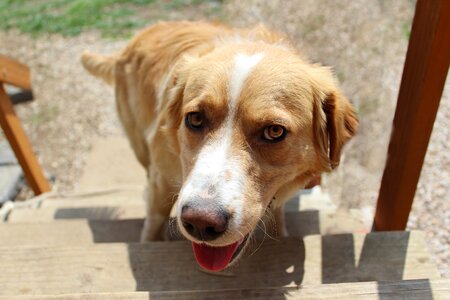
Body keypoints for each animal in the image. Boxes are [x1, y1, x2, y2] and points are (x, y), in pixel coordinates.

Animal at [81, 21, 358, 272]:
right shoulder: (161, 180)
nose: (201, 223)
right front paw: (149, 246)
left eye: (274, 131)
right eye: (195, 119)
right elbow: (154, 221)